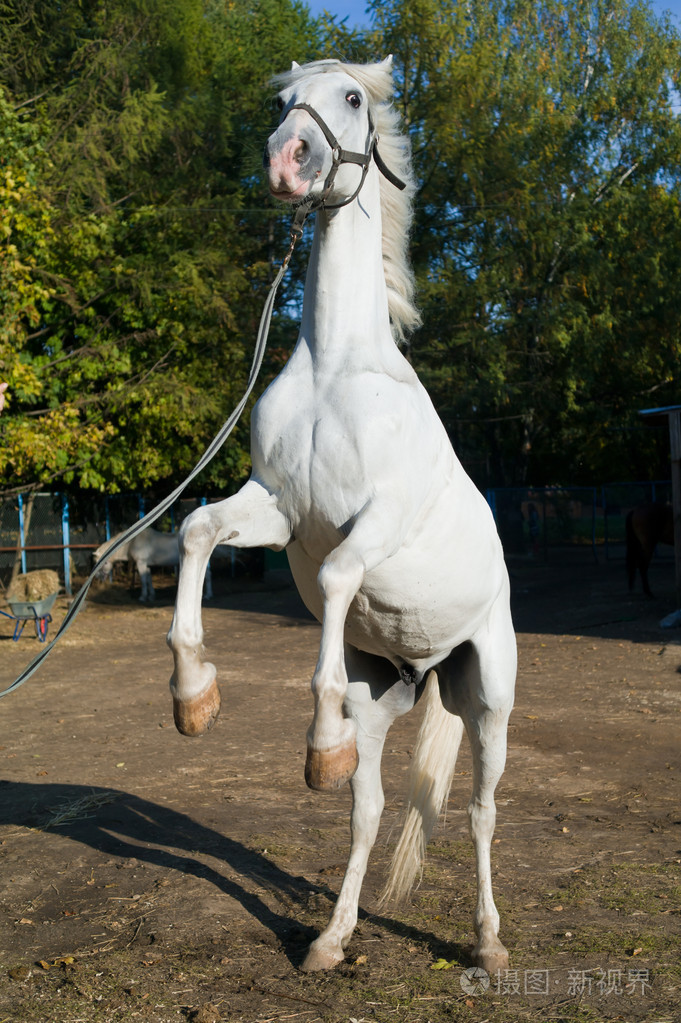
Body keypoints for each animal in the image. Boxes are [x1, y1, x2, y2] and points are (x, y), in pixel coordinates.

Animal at [165, 59, 515, 977]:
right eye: (283, 101)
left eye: (351, 98)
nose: (287, 159)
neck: (333, 369)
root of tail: (434, 666)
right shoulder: (276, 508)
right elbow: (197, 530)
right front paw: (193, 696)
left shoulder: (374, 525)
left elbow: (332, 577)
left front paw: (310, 731)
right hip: (381, 699)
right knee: (368, 805)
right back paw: (330, 936)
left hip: (490, 700)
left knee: (480, 810)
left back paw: (487, 941)